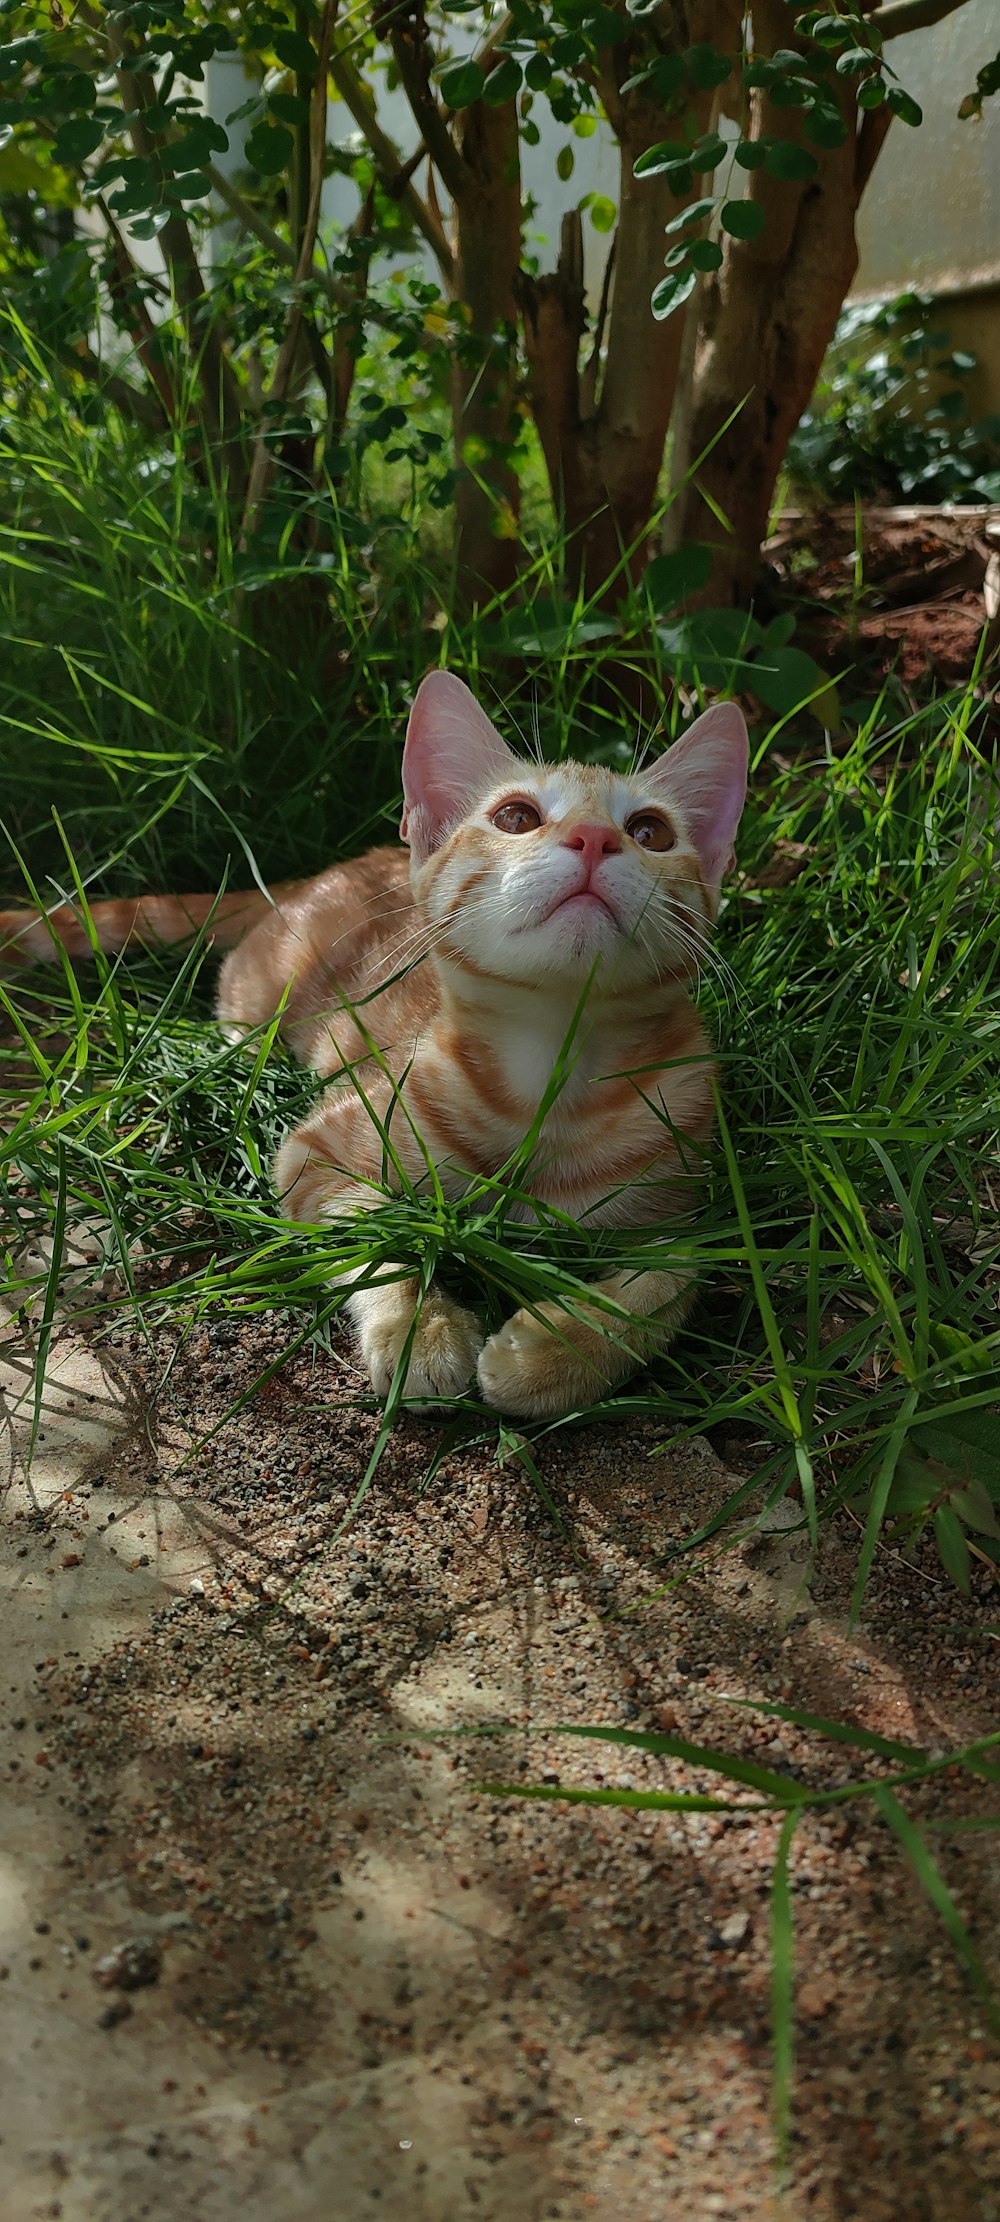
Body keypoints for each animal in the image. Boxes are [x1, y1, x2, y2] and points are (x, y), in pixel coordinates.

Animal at [1, 666, 751, 1413]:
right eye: (516, 816)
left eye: (651, 830)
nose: (595, 836)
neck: (546, 1078)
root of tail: (324, 872)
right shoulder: (316, 1152)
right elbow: (368, 1245)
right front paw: (421, 1332)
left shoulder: (689, 1209)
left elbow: (671, 1285)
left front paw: (553, 1356)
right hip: (260, 992)